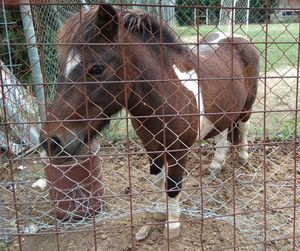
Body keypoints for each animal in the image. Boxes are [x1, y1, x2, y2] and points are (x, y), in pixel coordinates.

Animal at [40, 3, 260, 239]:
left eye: (97, 68)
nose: (51, 141)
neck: (167, 93)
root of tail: (236, 37)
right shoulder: (152, 146)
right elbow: (157, 180)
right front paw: (160, 211)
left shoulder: (178, 151)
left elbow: (172, 185)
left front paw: (172, 225)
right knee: (222, 133)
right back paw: (216, 164)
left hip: (247, 107)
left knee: (244, 128)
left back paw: (243, 157)